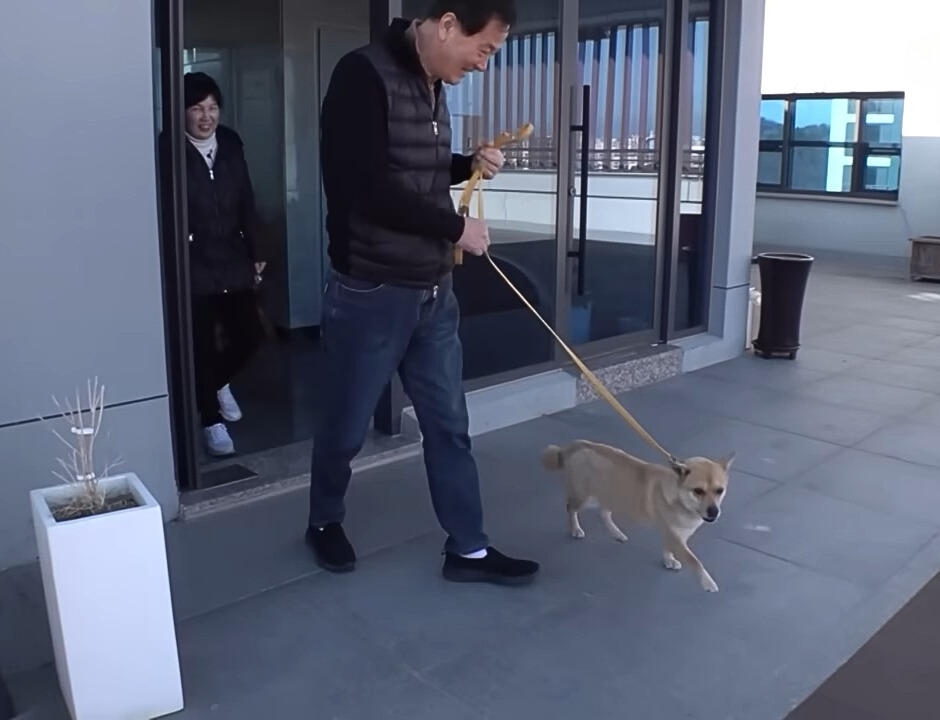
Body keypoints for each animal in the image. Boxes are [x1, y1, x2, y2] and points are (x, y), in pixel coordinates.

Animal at [544, 442, 736, 592]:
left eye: (720, 491)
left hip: (610, 495)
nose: (714, 512)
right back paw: (575, 529)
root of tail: (576, 445)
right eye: (698, 491)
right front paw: (707, 582)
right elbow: (695, 561)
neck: (681, 501)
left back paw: (616, 533)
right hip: (585, 498)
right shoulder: (674, 536)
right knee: (571, 508)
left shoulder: (676, 535)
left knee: (604, 513)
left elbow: (669, 549)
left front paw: (669, 560)